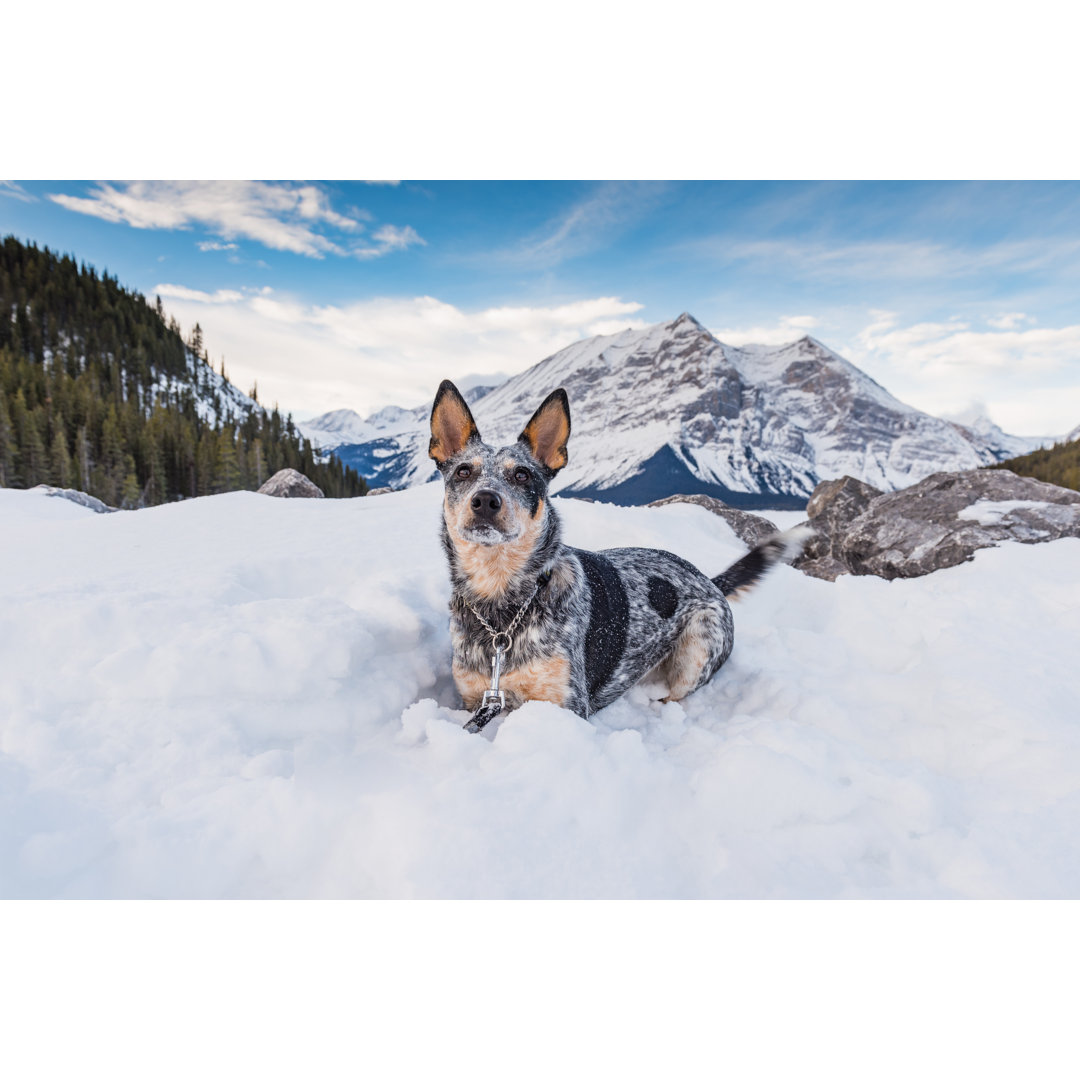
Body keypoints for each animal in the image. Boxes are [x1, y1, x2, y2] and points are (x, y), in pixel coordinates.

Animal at [429, 380, 812, 734]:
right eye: (463, 471)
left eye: (522, 474)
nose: (485, 500)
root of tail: (710, 580)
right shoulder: (474, 699)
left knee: (676, 693)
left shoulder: (567, 706)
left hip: (700, 645)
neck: (500, 607)